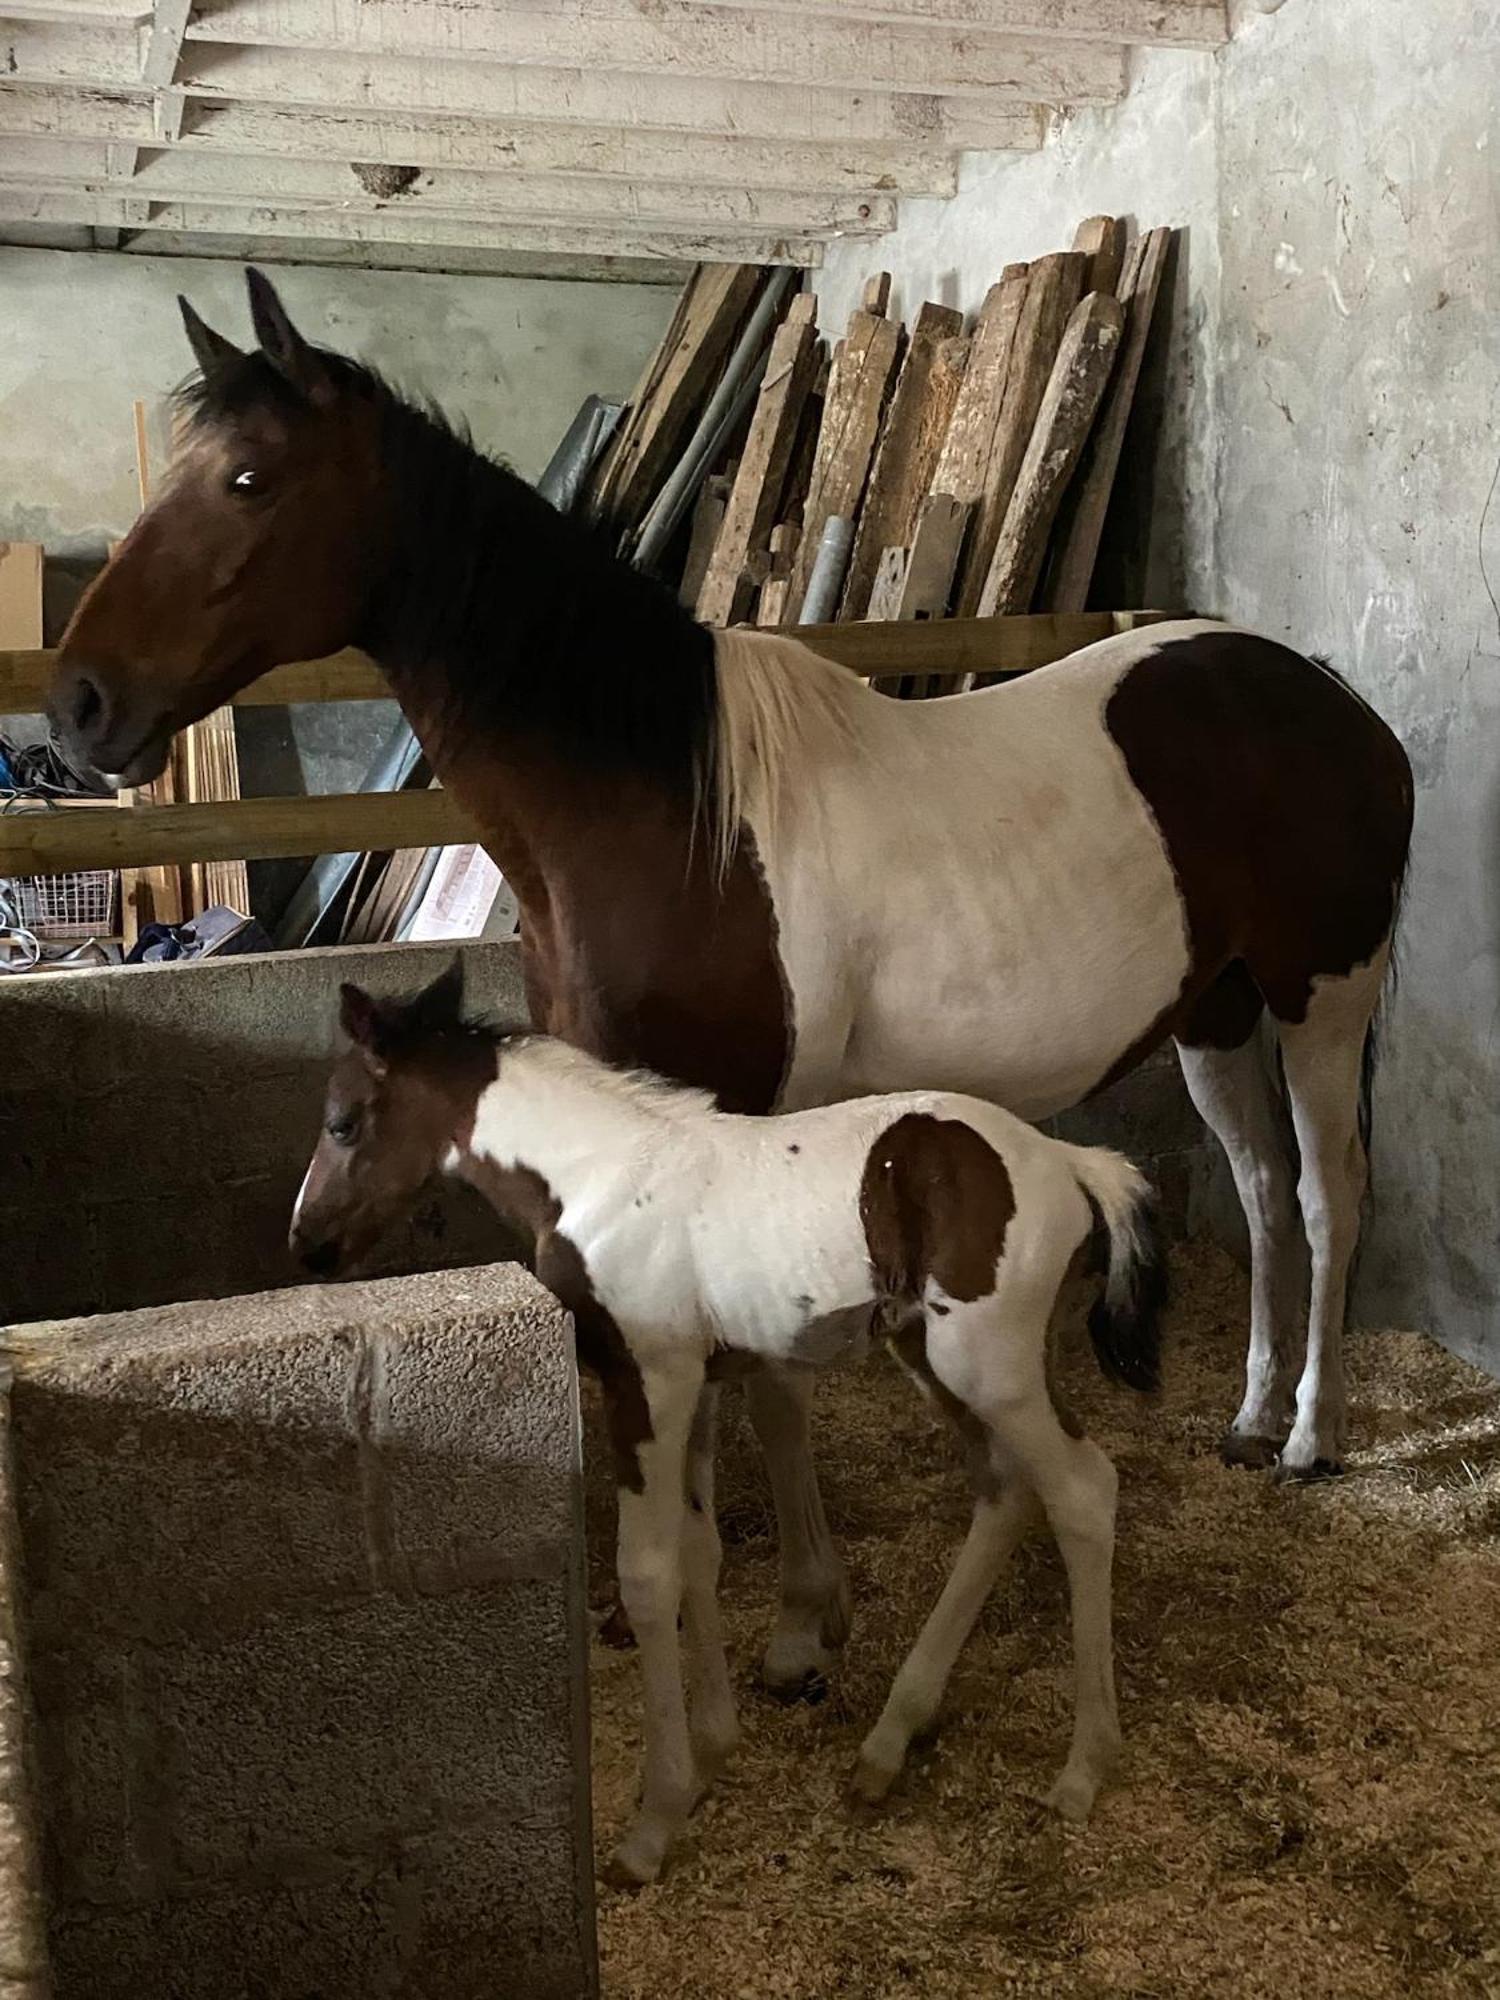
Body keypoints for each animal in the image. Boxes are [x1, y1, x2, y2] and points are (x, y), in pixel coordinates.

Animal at [290, 960, 1160, 1880]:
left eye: (343, 1123)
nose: (305, 1242)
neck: (595, 1175)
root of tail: (1070, 1163)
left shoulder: (649, 1382)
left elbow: (648, 1576)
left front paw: (654, 1821)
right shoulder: (699, 1385)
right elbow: (699, 1553)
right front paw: (713, 1751)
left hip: (988, 1367)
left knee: (1082, 1490)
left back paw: (1082, 1767)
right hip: (932, 1360)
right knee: (1004, 1493)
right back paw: (889, 1741)